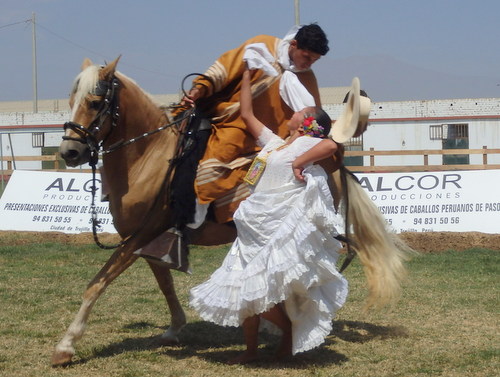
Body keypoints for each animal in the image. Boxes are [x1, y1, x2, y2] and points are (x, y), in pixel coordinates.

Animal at [53, 57, 410, 366]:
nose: (70, 151)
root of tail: (335, 162)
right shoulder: (144, 238)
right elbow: (164, 282)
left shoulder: (143, 234)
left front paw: (66, 346)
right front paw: (174, 328)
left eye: (95, 102)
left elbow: (97, 284)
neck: (150, 158)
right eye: (71, 99)